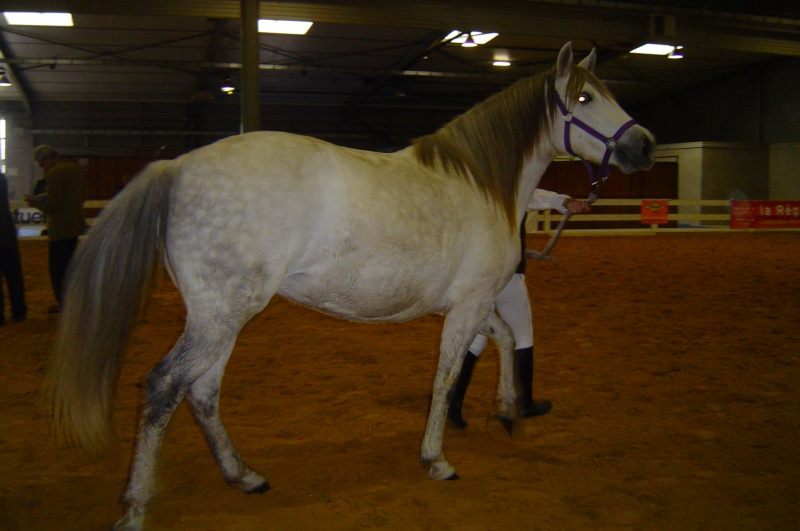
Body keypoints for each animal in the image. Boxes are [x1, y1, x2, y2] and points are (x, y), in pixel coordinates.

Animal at [45, 43, 656, 528]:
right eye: (584, 99)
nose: (646, 146)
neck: (482, 185)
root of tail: (175, 167)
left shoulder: (471, 302)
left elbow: (502, 342)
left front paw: (506, 410)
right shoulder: (467, 305)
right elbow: (445, 378)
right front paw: (436, 459)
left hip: (222, 319)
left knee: (202, 391)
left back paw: (244, 477)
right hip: (219, 318)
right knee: (164, 387)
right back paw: (135, 506)